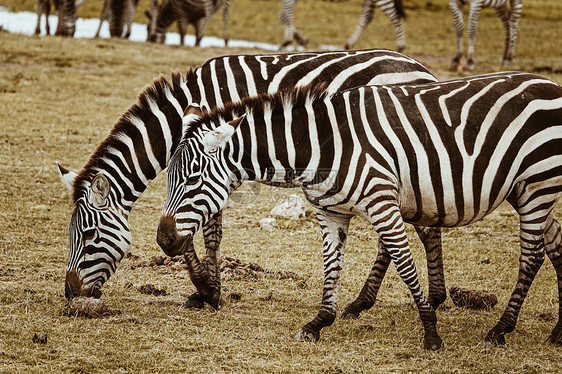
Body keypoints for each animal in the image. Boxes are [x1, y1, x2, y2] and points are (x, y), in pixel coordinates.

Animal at [57, 49, 444, 312]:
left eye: (88, 235)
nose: (70, 293)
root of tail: (422, 69)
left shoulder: (219, 163)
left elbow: (205, 230)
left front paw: (207, 291)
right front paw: (206, 288)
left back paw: (386, 300)